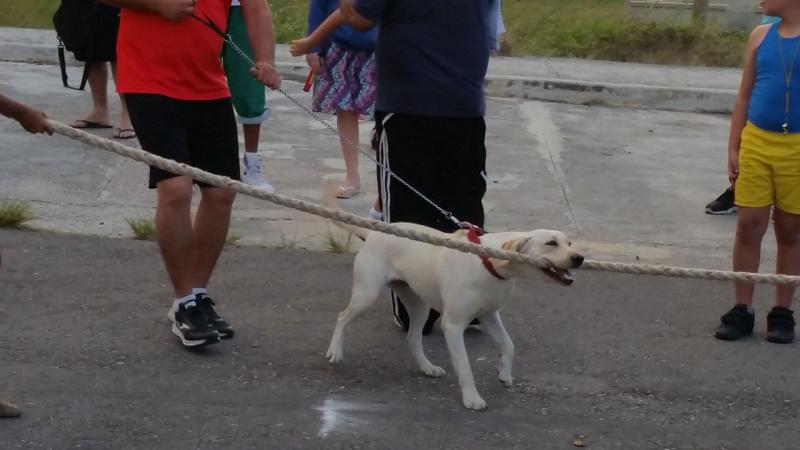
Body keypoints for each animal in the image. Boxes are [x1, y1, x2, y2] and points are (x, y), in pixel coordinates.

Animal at [324, 208, 580, 412]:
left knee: (413, 337)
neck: (488, 260)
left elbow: (509, 345)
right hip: (366, 294)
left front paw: (505, 374)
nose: (579, 258)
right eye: (550, 243)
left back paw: (427, 367)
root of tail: (373, 233)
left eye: (569, 243)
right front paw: (472, 398)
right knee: (342, 317)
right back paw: (335, 351)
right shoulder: (454, 325)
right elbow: (465, 367)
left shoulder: (489, 315)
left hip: (419, 305)